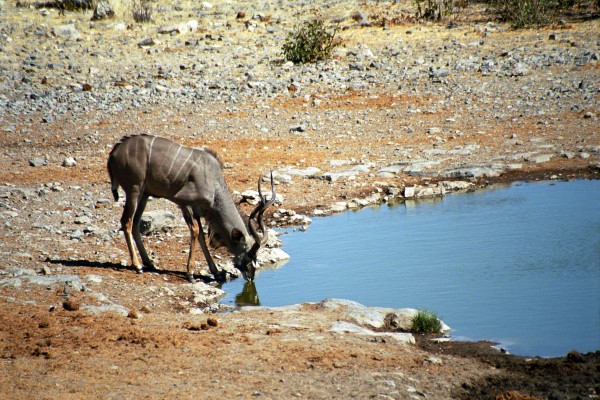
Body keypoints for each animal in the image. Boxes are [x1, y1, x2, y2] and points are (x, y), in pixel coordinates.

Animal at [106, 134, 276, 282]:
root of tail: (115, 152)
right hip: (134, 190)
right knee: (126, 221)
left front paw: (215, 271)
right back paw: (138, 266)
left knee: (135, 223)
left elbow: (201, 235)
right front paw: (190, 273)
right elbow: (194, 231)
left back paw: (150, 264)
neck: (214, 183)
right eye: (249, 254)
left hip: (144, 195)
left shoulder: (196, 209)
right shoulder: (183, 202)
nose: (251, 276)